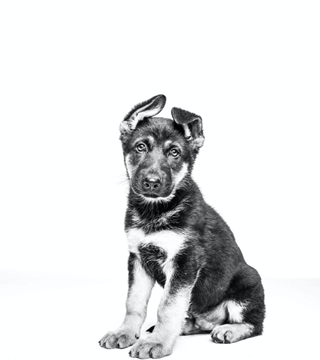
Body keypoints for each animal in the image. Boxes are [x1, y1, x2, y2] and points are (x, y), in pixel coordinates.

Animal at [98, 94, 264, 358]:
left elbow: (168, 306)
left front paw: (157, 343)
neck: (154, 211)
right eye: (141, 147)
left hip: (249, 282)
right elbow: (134, 302)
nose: (151, 182)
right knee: (197, 320)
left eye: (174, 152)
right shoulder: (137, 259)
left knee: (254, 325)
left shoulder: (184, 261)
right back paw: (186, 326)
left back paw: (229, 329)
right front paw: (124, 333)